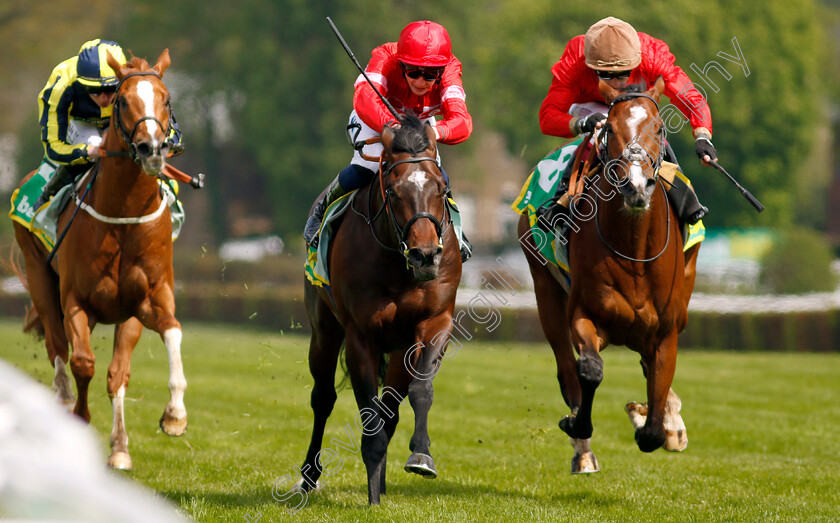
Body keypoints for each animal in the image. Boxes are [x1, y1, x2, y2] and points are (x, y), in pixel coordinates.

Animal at [13, 51, 187, 472]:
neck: (122, 214)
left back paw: (120, 446)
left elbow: (168, 336)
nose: (152, 149)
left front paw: (174, 416)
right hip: (40, 277)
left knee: (114, 372)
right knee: (58, 348)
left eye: (167, 98)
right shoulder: (77, 301)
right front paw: (77, 419)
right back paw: (62, 400)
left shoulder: (148, 300)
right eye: (122, 100)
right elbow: (82, 363)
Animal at [298, 113, 462, 504]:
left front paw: (421, 456)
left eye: (440, 189)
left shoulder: (435, 322)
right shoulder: (361, 335)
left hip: (400, 349)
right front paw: (373, 496)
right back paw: (309, 476)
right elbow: (367, 413)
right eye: (395, 189)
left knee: (391, 409)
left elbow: (420, 391)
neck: (398, 265)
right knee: (323, 398)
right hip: (324, 332)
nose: (425, 255)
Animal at [520, 78, 700, 474]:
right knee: (567, 370)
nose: (636, 185)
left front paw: (655, 420)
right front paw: (577, 424)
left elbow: (652, 423)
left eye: (659, 128)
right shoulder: (585, 313)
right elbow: (589, 370)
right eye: (610, 129)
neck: (634, 250)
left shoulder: (666, 330)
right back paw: (583, 452)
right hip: (545, 289)